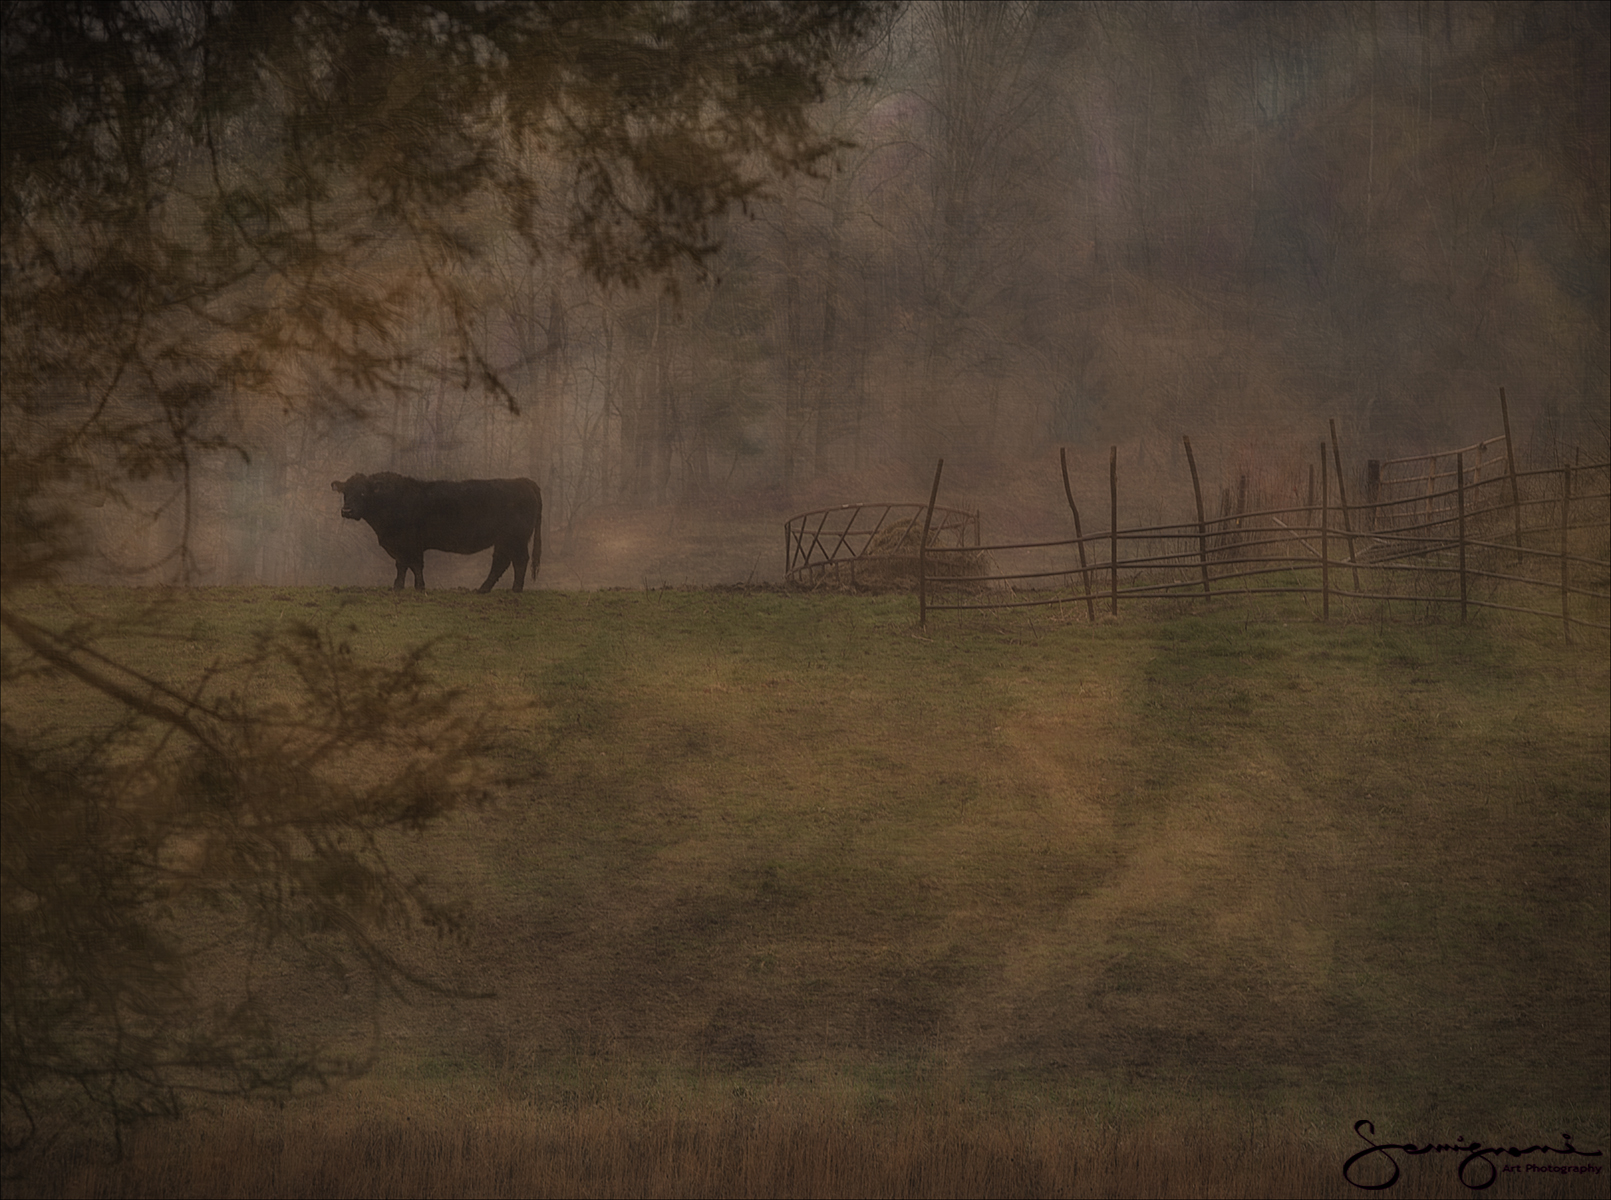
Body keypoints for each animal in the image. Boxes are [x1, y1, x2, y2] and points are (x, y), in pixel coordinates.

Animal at [330, 473, 544, 592]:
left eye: (363, 492)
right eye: (345, 493)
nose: (346, 510)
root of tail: (522, 481)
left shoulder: (409, 542)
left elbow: (409, 565)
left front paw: (408, 587)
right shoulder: (404, 545)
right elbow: (408, 565)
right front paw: (408, 586)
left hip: (516, 539)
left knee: (519, 561)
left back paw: (516, 589)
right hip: (504, 540)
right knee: (501, 562)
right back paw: (483, 589)